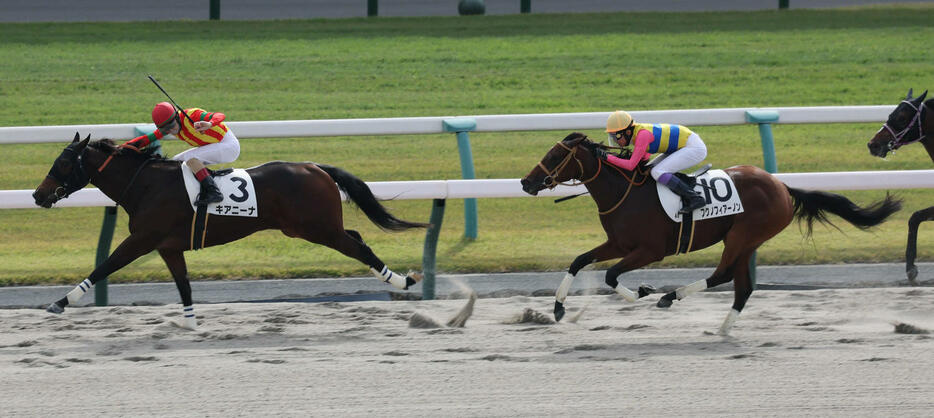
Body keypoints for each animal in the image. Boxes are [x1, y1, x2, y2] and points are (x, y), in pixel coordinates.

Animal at [33, 136, 428, 328]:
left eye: (63, 162)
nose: (38, 194)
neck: (145, 184)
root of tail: (315, 167)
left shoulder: (141, 240)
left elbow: (104, 266)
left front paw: (60, 302)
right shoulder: (168, 247)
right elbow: (184, 285)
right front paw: (190, 325)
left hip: (317, 228)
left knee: (360, 247)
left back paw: (403, 280)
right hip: (313, 227)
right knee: (358, 238)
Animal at [524, 132, 904, 334]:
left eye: (555, 155)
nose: (526, 182)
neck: (625, 192)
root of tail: (782, 186)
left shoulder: (650, 250)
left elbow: (611, 275)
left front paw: (644, 291)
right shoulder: (618, 242)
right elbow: (579, 261)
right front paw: (558, 308)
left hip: (743, 235)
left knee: (723, 274)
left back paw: (671, 296)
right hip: (747, 240)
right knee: (742, 286)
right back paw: (722, 328)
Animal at [868, 89, 932, 282]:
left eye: (902, 117)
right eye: (890, 114)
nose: (872, 144)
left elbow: (916, 217)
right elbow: (915, 217)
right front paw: (910, 267)